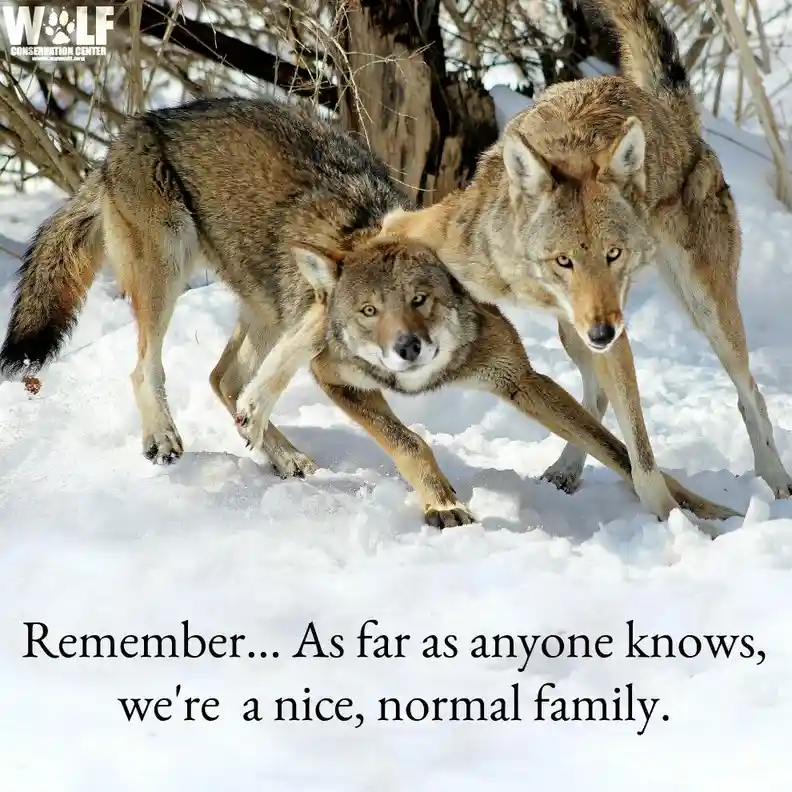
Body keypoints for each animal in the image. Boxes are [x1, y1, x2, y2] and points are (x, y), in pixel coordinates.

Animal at [0, 94, 737, 528]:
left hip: (264, 305)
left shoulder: (521, 380)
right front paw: (442, 503)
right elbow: (411, 441)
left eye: (420, 301)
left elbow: (620, 447)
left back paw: (282, 456)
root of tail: (136, 123)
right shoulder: (337, 379)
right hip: (169, 277)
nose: (408, 348)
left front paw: (693, 509)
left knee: (225, 380)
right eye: (367, 312)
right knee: (148, 368)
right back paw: (165, 439)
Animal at [376, 0, 791, 519]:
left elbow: (642, 453)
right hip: (575, 334)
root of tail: (672, 116)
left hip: (705, 312)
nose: (602, 332)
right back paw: (566, 469)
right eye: (563, 261)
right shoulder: (425, 230)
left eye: (613, 254)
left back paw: (776, 480)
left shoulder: (615, 334)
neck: (525, 282)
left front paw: (669, 519)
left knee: (747, 392)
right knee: (595, 401)